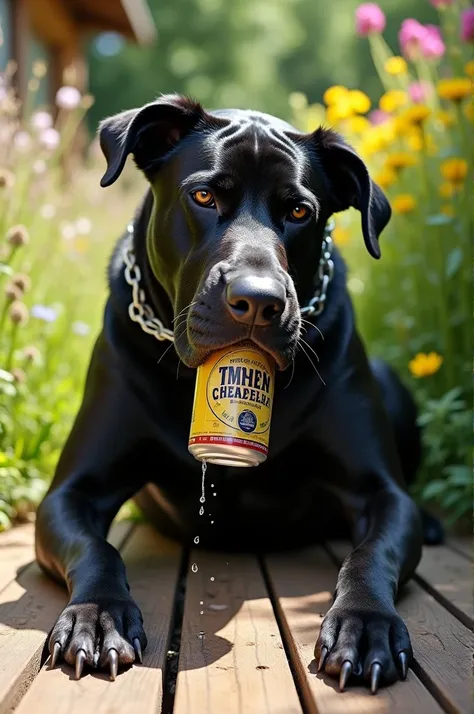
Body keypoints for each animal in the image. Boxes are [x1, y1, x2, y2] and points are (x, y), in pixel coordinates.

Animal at [35, 93, 442, 688]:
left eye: (299, 212)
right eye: (204, 196)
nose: (258, 300)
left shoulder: (380, 492)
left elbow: (371, 555)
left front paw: (365, 623)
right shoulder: (72, 493)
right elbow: (97, 549)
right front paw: (97, 615)